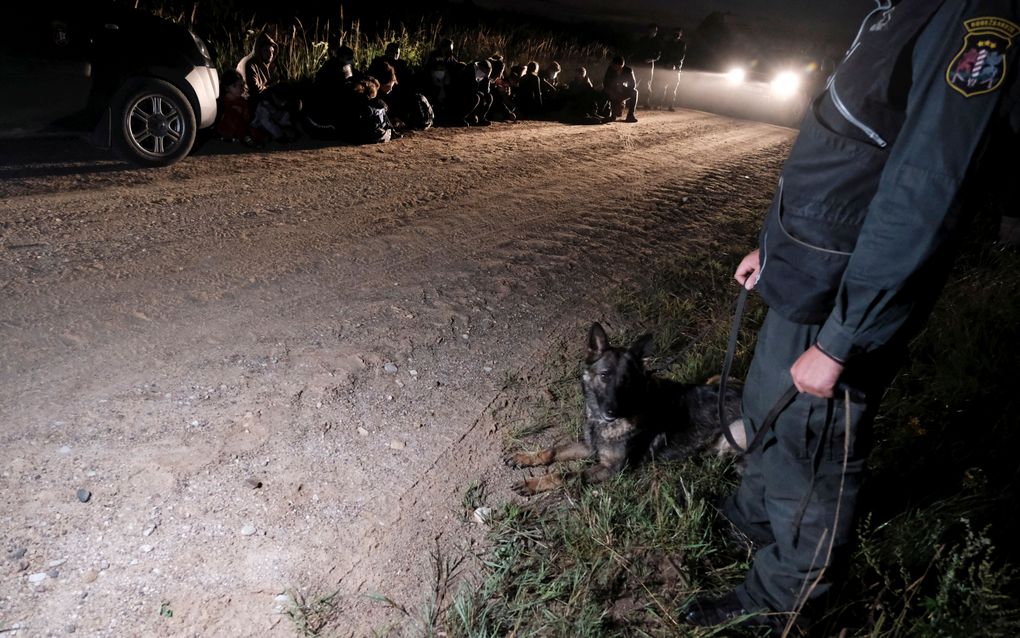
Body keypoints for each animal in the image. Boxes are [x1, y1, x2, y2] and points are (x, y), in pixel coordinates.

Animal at [507, 320, 742, 496]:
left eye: (626, 381)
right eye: (604, 376)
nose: (611, 412)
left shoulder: (610, 468)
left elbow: (566, 475)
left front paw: (534, 483)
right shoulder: (590, 446)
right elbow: (553, 450)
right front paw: (526, 457)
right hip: (719, 378)